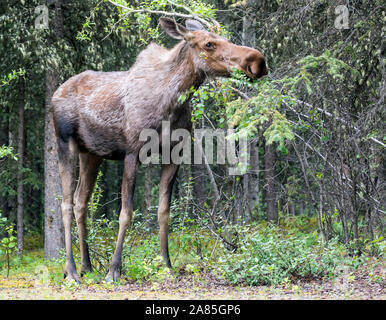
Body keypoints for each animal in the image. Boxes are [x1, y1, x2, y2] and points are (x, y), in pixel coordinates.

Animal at [51, 17, 266, 282]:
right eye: (208, 44)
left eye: (224, 38)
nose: (258, 61)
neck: (172, 103)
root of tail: (55, 94)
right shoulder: (132, 152)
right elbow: (126, 213)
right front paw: (114, 270)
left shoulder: (175, 154)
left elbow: (164, 211)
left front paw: (166, 265)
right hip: (65, 143)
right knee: (66, 204)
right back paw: (71, 270)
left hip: (91, 153)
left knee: (81, 202)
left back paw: (87, 266)